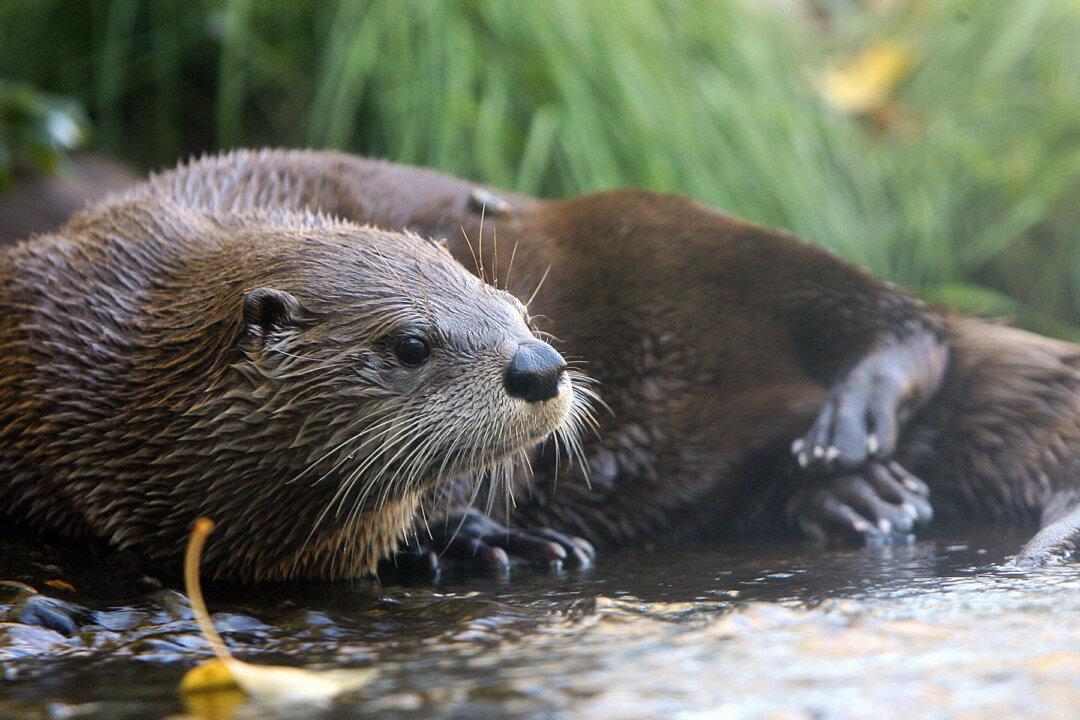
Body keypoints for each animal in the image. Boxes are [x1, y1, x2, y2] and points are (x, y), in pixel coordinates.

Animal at [125, 149, 1080, 568]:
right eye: (410, 347)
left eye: (511, 309)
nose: (539, 365)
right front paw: (477, 539)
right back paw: (856, 495)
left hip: (679, 228)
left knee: (907, 320)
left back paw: (852, 431)